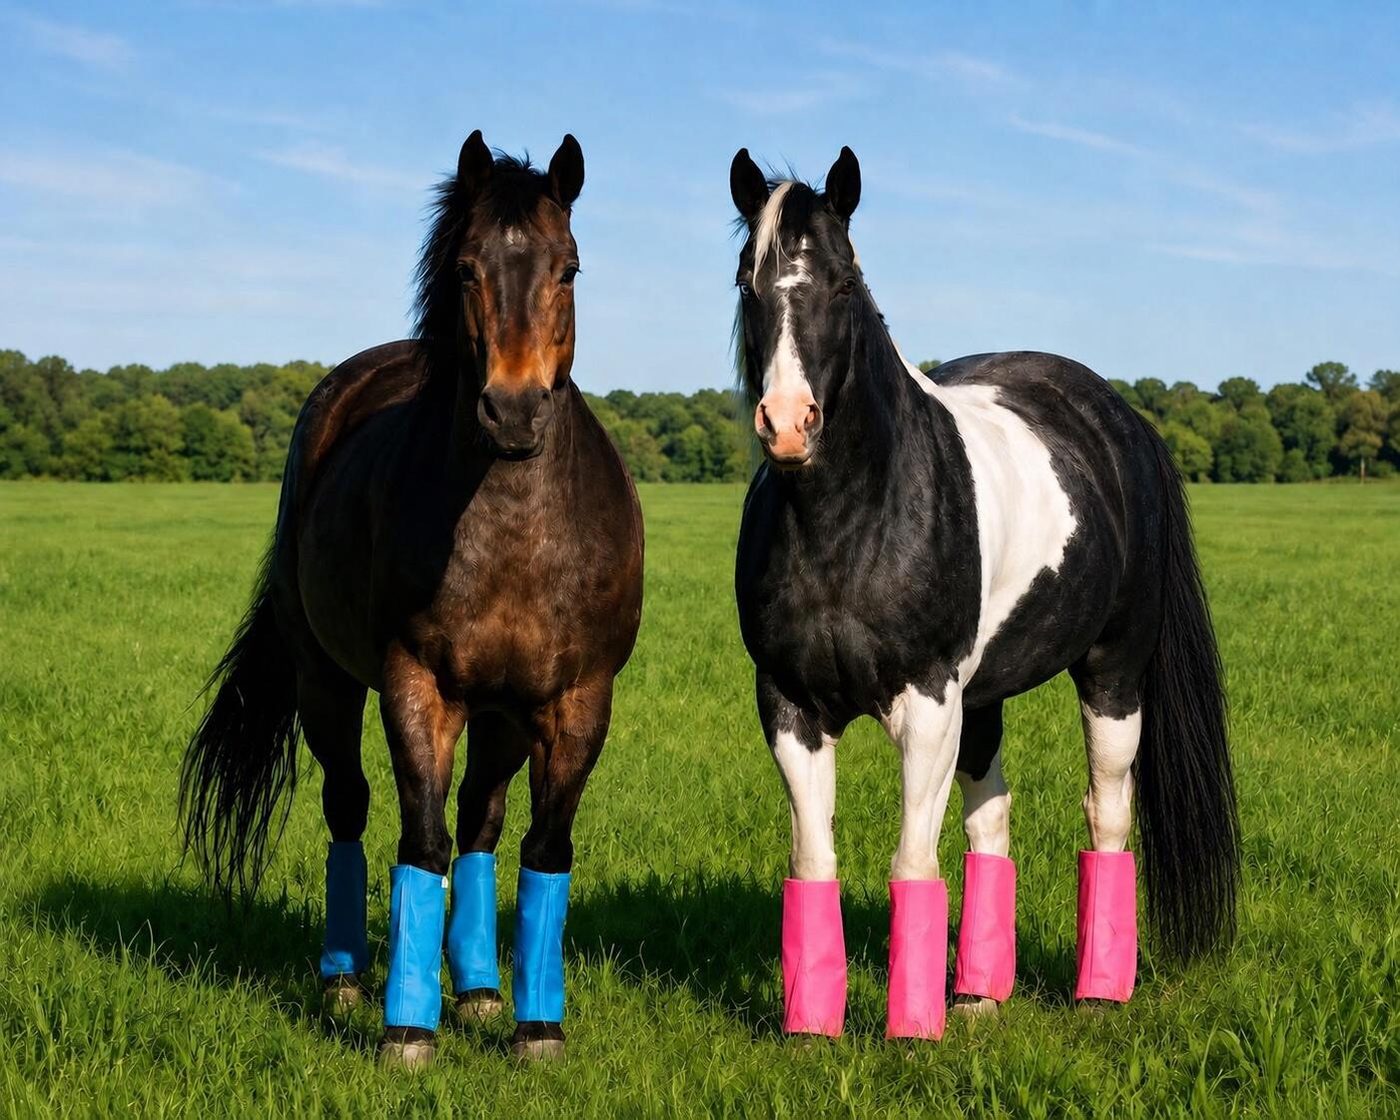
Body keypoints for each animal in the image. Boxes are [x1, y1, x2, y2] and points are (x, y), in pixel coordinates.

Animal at [180, 131, 644, 1066]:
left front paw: (538, 1027)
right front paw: (406, 1032)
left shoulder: (577, 701)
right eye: (466, 268)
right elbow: (418, 839)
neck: (512, 535)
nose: (512, 412)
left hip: (502, 716)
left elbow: (542, 846)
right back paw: (346, 980)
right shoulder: (415, 687)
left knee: (482, 822)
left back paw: (480, 989)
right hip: (326, 684)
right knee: (351, 808)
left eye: (569, 267)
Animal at [728, 146, 1239, 1040]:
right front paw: (811, 1031)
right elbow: (814, 859)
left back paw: (1098, 993)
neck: (848, 525)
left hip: (1113, 675)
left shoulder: (929, 704)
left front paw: (908, 1032)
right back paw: (975, 996)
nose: (788, 424)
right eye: (744, 282)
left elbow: (911, 862)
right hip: (986, 696)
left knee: (1106, 815)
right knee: (990, 822)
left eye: (843, 282)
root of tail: (1123, 422)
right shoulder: (789, 705)